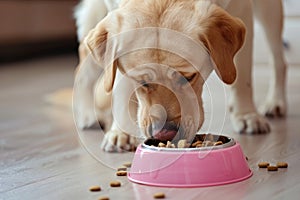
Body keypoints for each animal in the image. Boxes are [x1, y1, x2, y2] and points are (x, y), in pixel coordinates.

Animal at [74, 0, 288, 152]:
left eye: (188, 76)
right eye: (142, 82)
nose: (164, 134)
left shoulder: (242, 8)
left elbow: (242, 75)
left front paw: (246, 115)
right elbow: (119, 83)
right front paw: (122, 132)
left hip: (270, 11)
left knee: (278, 59)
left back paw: (276, 101)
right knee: (83, 66)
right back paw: (88, 115)